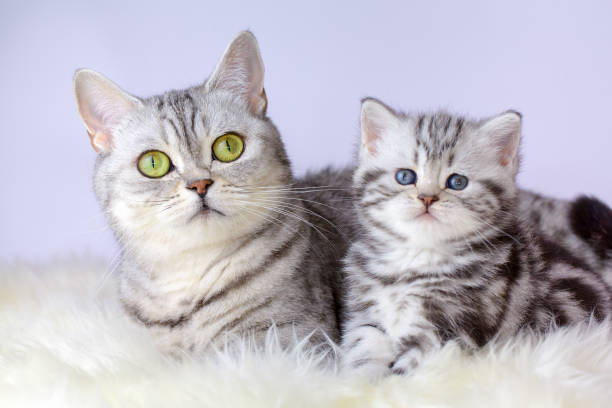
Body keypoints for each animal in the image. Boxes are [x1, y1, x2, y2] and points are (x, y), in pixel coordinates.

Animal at [340, 97, 612, 378]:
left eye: (457, 182)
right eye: (405, 177)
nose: (427, 198)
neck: (416, 259)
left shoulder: (451, 328)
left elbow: (408, 370)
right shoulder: (367, 315)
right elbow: (363, 350)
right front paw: (360, 381)